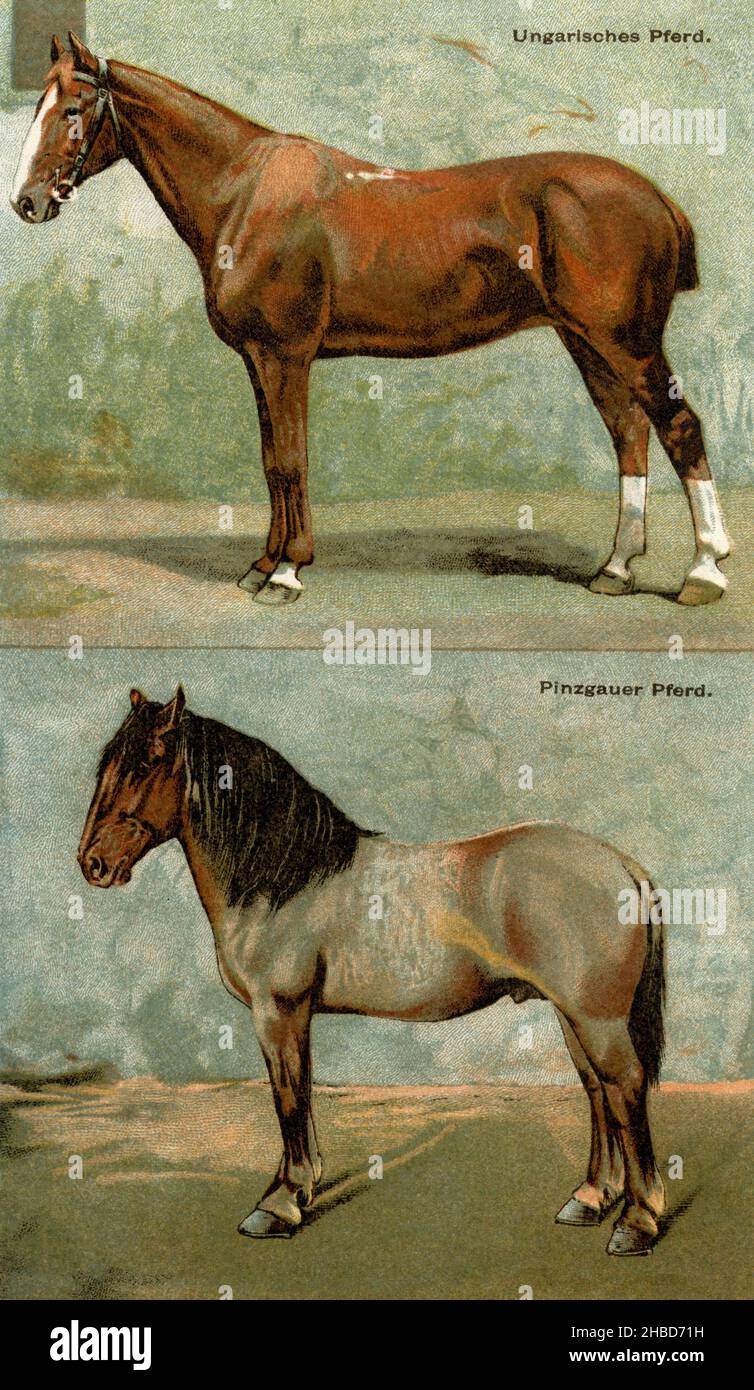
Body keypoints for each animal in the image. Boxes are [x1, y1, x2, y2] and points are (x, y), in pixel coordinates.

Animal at [12, 32, 730, 607]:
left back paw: (704, 573)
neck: (245, 192)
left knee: (679, 428)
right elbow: (270, 461)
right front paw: (262, 564)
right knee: (628, 432)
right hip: (587, 342)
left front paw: (287, 574)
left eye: (71, 110)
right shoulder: (259, 361)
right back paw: (615, 568)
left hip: (627, 342)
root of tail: (658, 197)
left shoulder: (286, 355)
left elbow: (292, 460)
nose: (26, 202)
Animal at [78, 685, 667, 1255]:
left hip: (596, 1018)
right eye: (108, 761)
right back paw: (589, 1200)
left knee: (625, 1086)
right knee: (598, 1091)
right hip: (572, 1015)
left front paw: (278, 1206)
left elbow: (287, 1097)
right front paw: (304, 1185)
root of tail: (621, 865)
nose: (92, 864)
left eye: (147, 761)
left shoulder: (278, 1011)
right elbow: (302, 1091)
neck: (288, 876)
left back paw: (637, 1222)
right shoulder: (295, 1016)